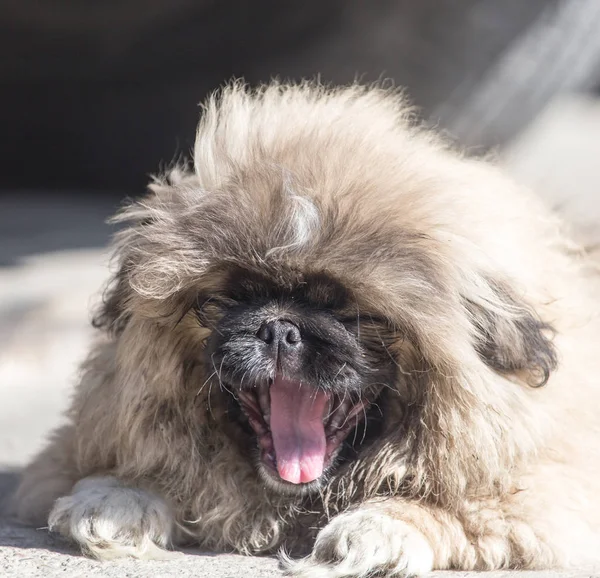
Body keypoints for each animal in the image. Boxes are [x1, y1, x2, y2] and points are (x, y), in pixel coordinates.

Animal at [12, 83, 600, 572]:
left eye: (352, 312)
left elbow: (462, 508)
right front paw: (118, 499)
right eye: (234, 298)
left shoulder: (546, 497)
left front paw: (381, 526)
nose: (278, 328)